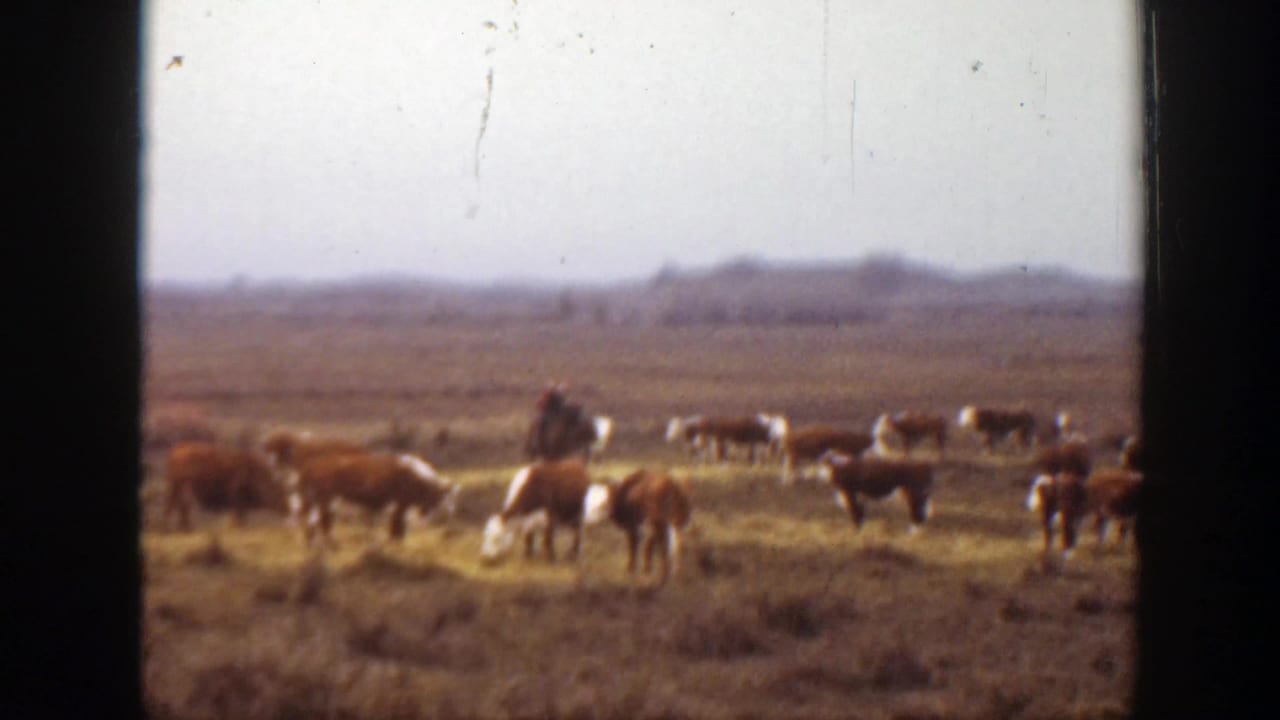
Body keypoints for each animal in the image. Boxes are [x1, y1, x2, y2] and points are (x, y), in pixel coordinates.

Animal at [292, 452, 459, 547]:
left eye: (453, 504)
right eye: (445, 502)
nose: (450, 531)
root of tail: (309, 467)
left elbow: (399, 527)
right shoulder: (400, 504)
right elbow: (397, 527)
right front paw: (395, 543)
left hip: (316, 502)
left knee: (312, 524)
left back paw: (314, 544)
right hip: (326, 501)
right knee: (323, 523)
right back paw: (330, 544)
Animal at [480, 459, 610, 564]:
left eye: (496, 538)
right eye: (485, 536)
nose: (485, 558)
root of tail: (576, 464)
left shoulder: (550, 518)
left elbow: (548, 540)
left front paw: (551, 559)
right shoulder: (531, 520)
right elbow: (529, 537)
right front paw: (528, 555)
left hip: (578, 513)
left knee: (577, 532)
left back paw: (574, 554)